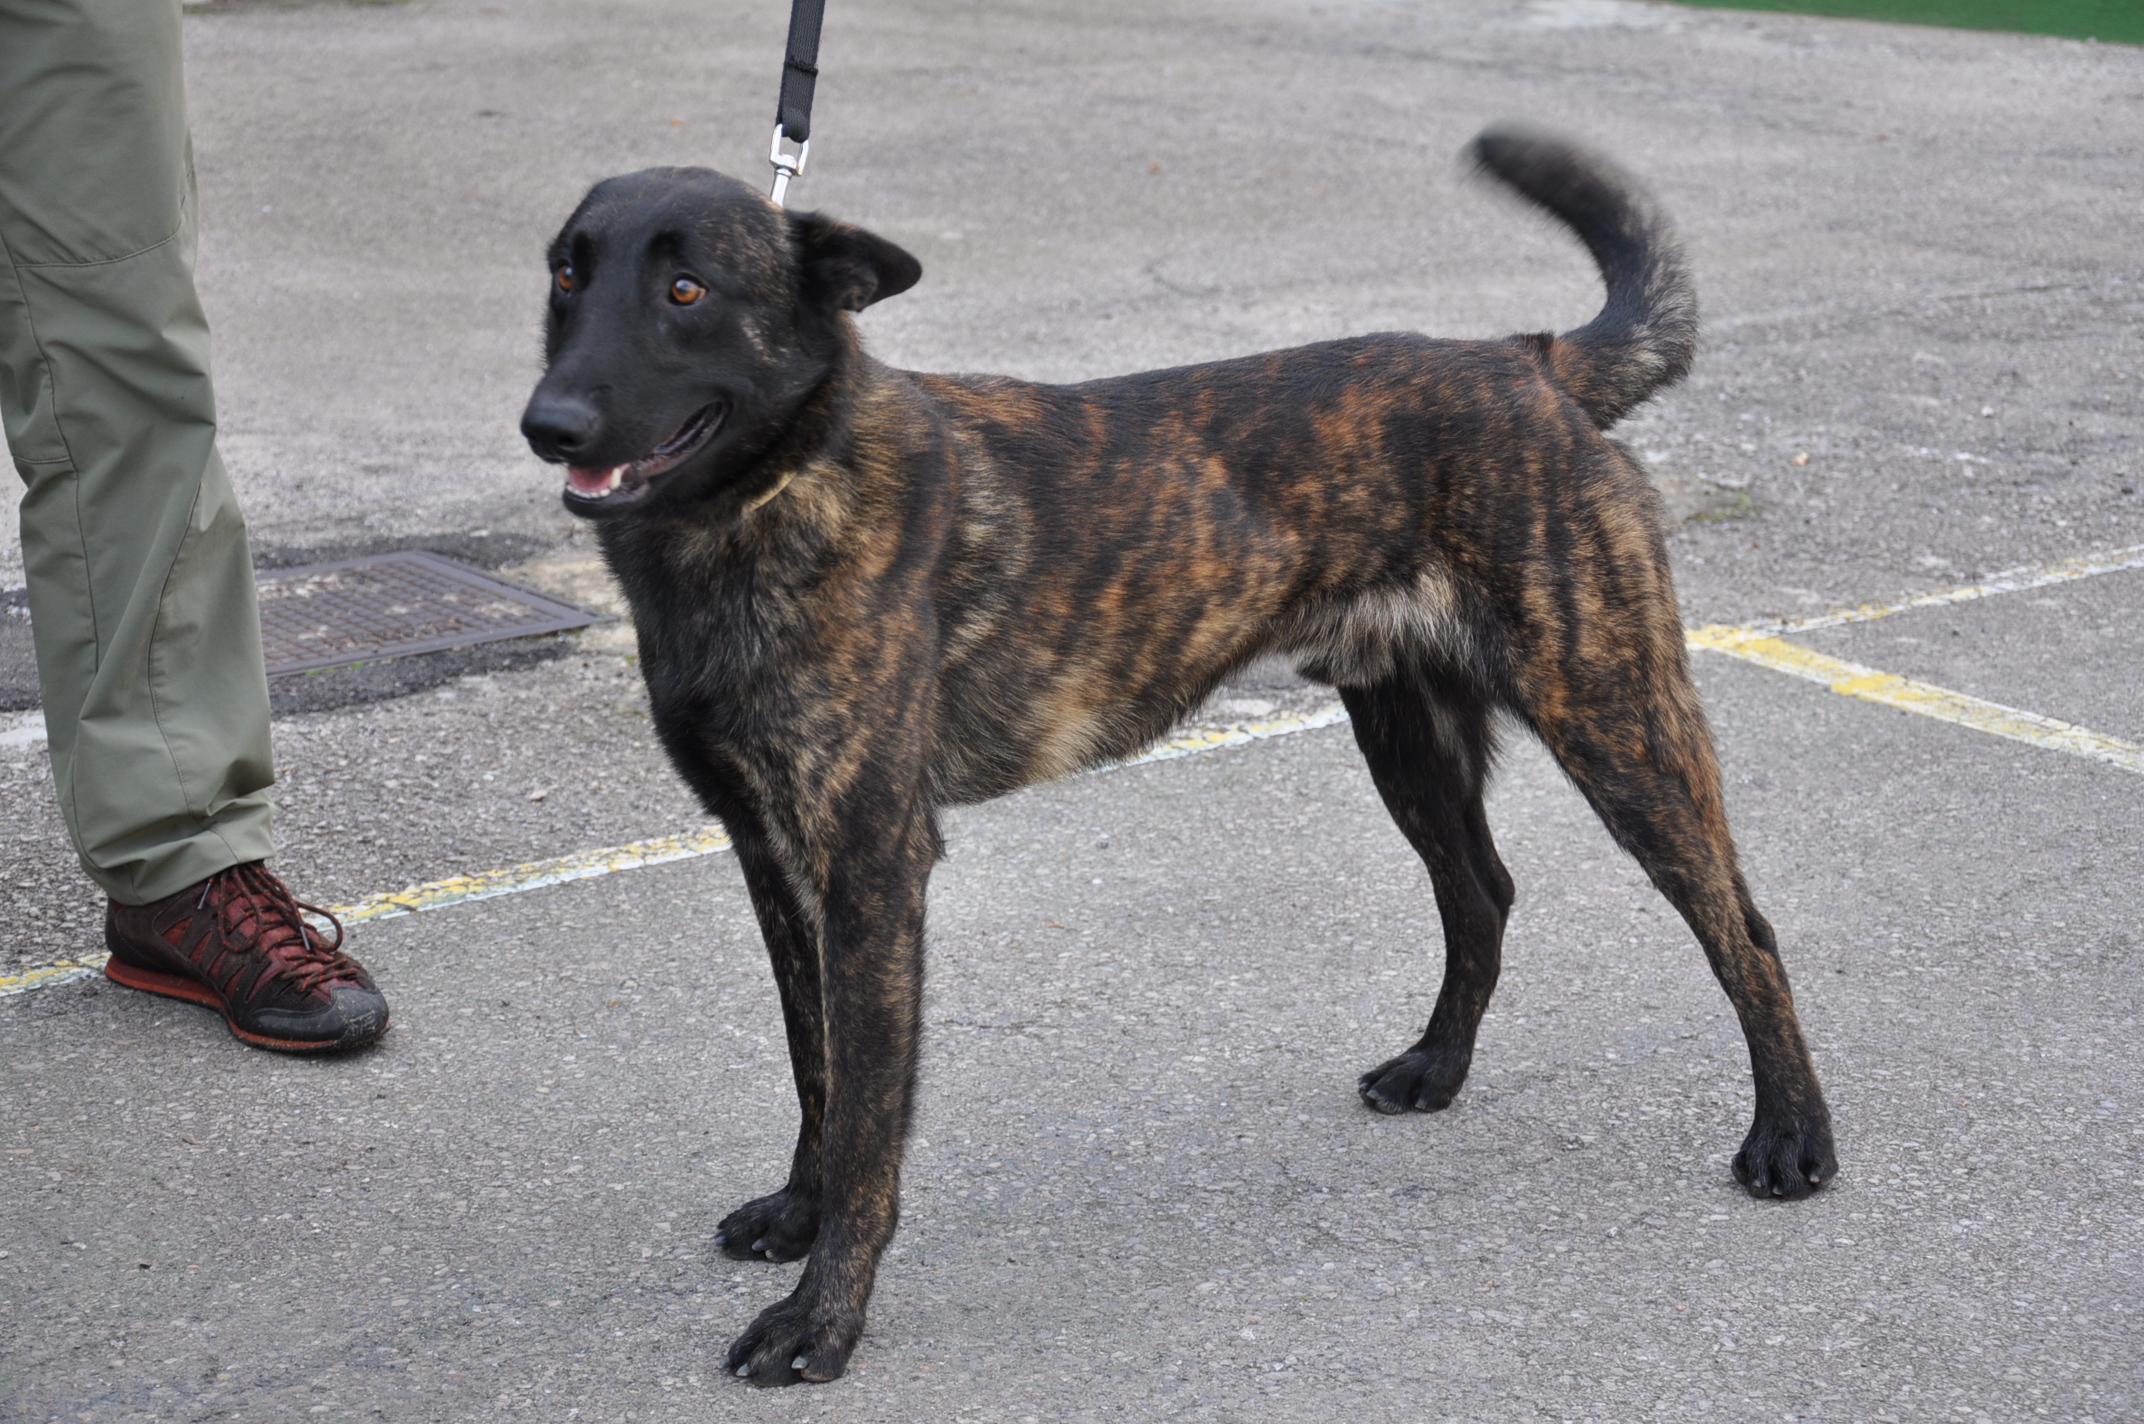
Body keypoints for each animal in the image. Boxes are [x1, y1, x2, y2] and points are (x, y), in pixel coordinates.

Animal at [514, 130, 1826, 1381]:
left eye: (686, 288)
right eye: (566, 276)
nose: (547, 425)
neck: (774, 488)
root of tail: (1528, 359)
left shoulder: (869, 871)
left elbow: (869, 1119)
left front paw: (820, 1317)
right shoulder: (773, 857)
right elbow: (814, 1069)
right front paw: (798, 1208)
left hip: (1613, 718)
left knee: (1743, 929)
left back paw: (1791, 1138)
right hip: (1406, 735)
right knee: (1481, 894)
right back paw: (1435, 1067)